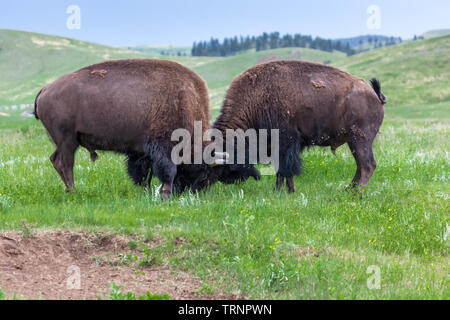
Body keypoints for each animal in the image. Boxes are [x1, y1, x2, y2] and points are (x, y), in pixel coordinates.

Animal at [33, 58, 225, 199]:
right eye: (204, 172)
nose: (194, 191)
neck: (184, 99)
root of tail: (46, 89)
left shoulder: (144, 153)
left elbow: (144, 173)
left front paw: (147, 191)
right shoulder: (164, 148)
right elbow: (168, 171)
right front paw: (165, 195)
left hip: (63, 142)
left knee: (55, 159)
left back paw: (69, 190)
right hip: (68, 140)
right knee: (65, 163)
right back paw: (74, 192)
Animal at [213, 61, 384, 194]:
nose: (226, 179)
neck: (256, 99)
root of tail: (375, 94)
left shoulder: (285, 144)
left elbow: (285, 168)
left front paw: (284, 191)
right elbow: (282, 171)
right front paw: (283, 190)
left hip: (360, 139)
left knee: (368, 165)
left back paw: (356, 194)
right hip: (352, 141)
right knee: (360, 165)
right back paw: (348, 190)